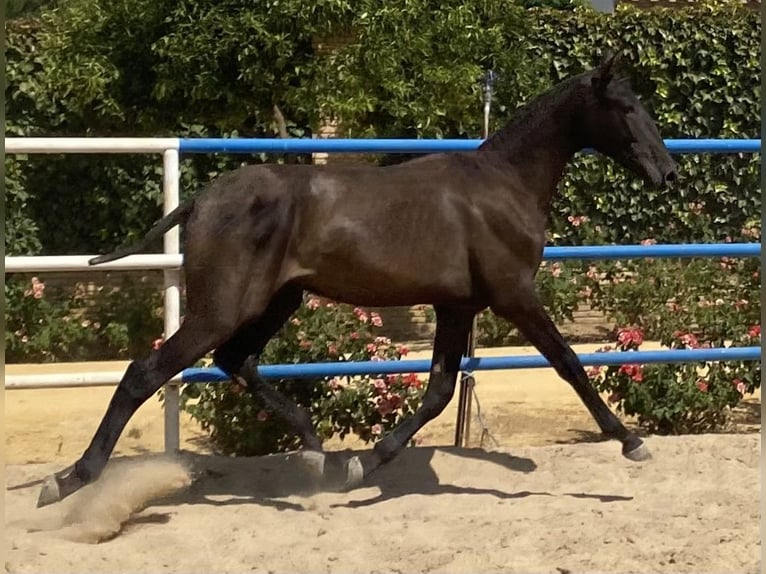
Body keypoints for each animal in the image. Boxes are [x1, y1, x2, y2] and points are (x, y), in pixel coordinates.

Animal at [37, 54, 680, 508]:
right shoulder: (513, 296)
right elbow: (569, 363)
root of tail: (201, 199)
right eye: (625, 106)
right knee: (147, 372)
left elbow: (439, 391)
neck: (503, 186)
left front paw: (362, 463)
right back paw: (68, 481)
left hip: (277, 300)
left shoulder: (456, 306)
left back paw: (315, 450)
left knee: (236, 360)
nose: (668, 173)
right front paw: (632, 442)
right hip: (223, 307)